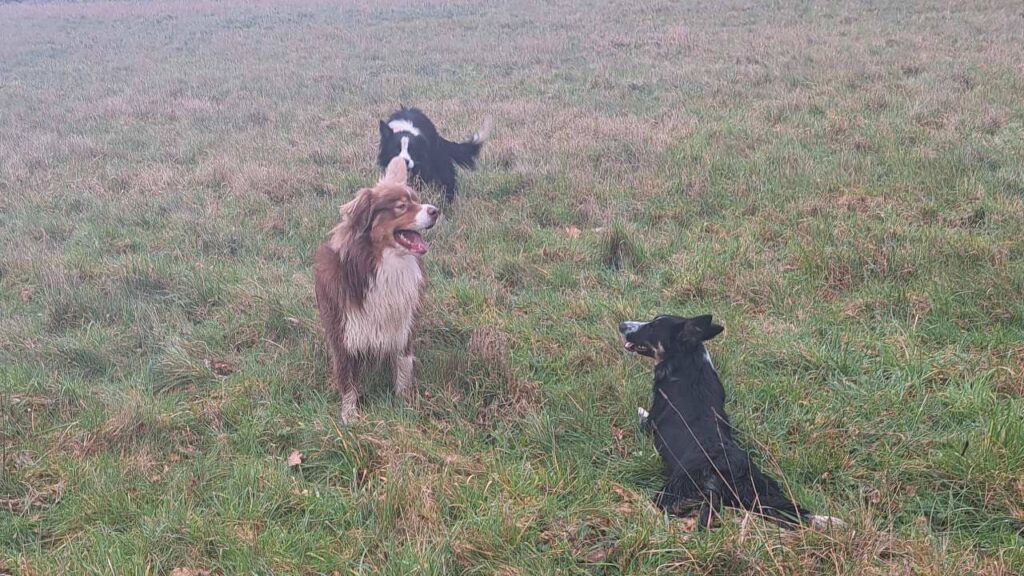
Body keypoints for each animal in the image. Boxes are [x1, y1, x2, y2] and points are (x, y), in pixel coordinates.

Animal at [311, 156, 440, 422]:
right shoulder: (343, 335)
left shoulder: (403, 329)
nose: (436, 210)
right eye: (401, 206)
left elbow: (403, 368)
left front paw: (404, 405)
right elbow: (348, 382)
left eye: (416, 200)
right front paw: (349, 417)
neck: (381, 264)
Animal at [614, 313, 839, 528]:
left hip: (674, 489)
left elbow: (642, 415)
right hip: (766, 488)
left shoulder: (652, 420)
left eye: (652, 327)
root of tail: (729, 471)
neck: (688, 362)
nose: (622, 325)